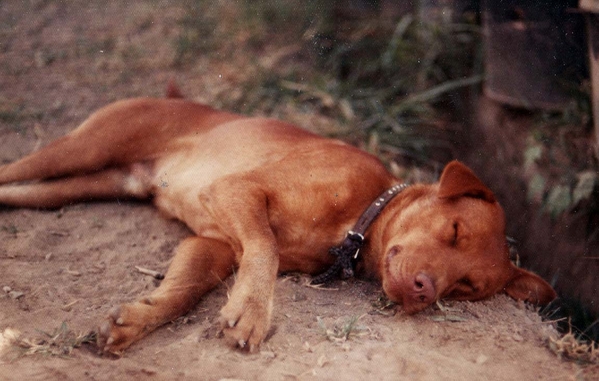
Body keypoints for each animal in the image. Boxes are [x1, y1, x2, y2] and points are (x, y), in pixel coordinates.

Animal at [0, 87, 556, 352]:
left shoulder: (213, 247)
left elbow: (180, 293)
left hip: (72, 189)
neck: (357, 219)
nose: (424, 291)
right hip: (80, 150)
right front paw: (252, 312)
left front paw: (136, 320)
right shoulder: (237, 192)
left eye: (465, 288)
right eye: (454, 230)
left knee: (13, 192)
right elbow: (264, 250)